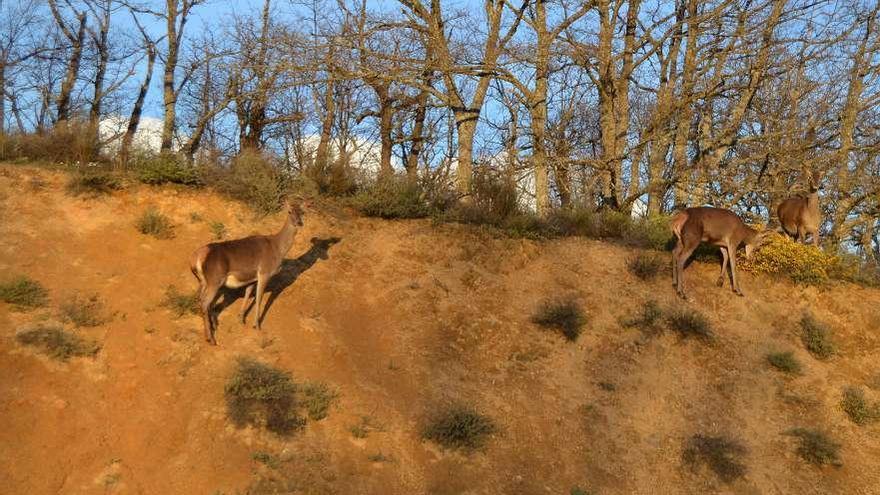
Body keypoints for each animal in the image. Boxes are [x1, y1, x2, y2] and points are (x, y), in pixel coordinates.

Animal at [189, 201, 306, 344]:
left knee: (200, 298)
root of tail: (195, 258)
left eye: (302, 212)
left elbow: (247, 293)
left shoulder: (252, 278)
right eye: (289, 211)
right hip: (215, 280)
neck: (277, 248)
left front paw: (241, 319)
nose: (299, 223)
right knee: (205, 302)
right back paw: (211, 339)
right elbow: (259, 298)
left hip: (203, 281)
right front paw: (257, 325)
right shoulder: (264, 272)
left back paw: (213, 327)